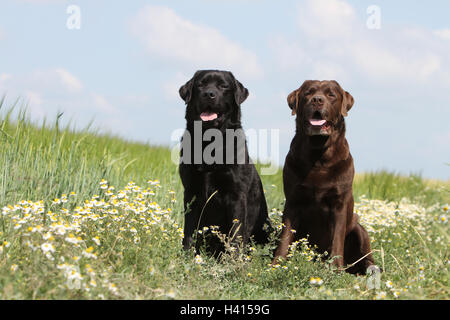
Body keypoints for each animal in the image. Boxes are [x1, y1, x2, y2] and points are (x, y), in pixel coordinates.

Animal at [179, 70, 270, 255]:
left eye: (223, 86)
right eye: (200, 85)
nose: (209, 94)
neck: (209, 142)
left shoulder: (236, 195)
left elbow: (236, 233)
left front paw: (232, 259)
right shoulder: (190, 191)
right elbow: (189, 230)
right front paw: (186, 255)